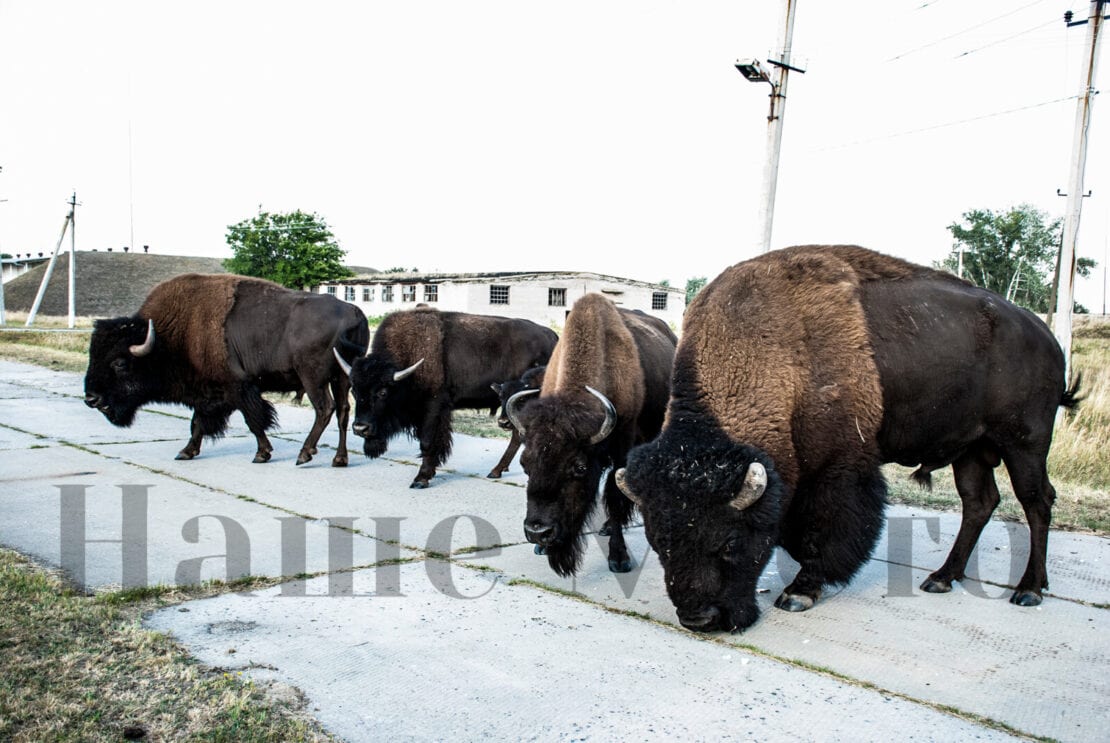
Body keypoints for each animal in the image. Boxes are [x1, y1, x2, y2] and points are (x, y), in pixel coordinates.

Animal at [84, 275, 368, 466]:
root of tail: (353, 312)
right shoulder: (209, 395)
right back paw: (339, 459)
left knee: (324, 409)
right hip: (342, 378)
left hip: (313, 379)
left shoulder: (238, 388)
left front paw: (262, 454)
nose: (91, 398)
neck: (169, 338)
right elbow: (198, 423)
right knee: (343, 412)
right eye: (92, 355)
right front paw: (186, 452)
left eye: (119, 363)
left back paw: (304, 454)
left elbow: (253, 420)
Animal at [328, 306, 555, 486]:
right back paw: (496, 471)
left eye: (382, 392)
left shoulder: (434, 407)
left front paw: (421, 479)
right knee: (517, 435)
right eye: (355, 390)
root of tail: (552, 337)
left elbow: (428, 442)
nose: (360, 428)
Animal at [506, 293, 674, 577]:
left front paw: (619, 558)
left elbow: (614, 498)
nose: (538, 532)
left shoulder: (621, 452)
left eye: (579, 467)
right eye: (524, 464)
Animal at [612, 244, 1078, 630]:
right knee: (979, 503)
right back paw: (942, 578)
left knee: (1037, 502)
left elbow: (826, 528)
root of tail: (1046, 337)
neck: (778, 356)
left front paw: (799, 592)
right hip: (972, 450)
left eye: (728, 542)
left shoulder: (839, 466)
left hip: (1024, 443)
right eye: (657, 541)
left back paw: (1028, 590)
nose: (699, 619)